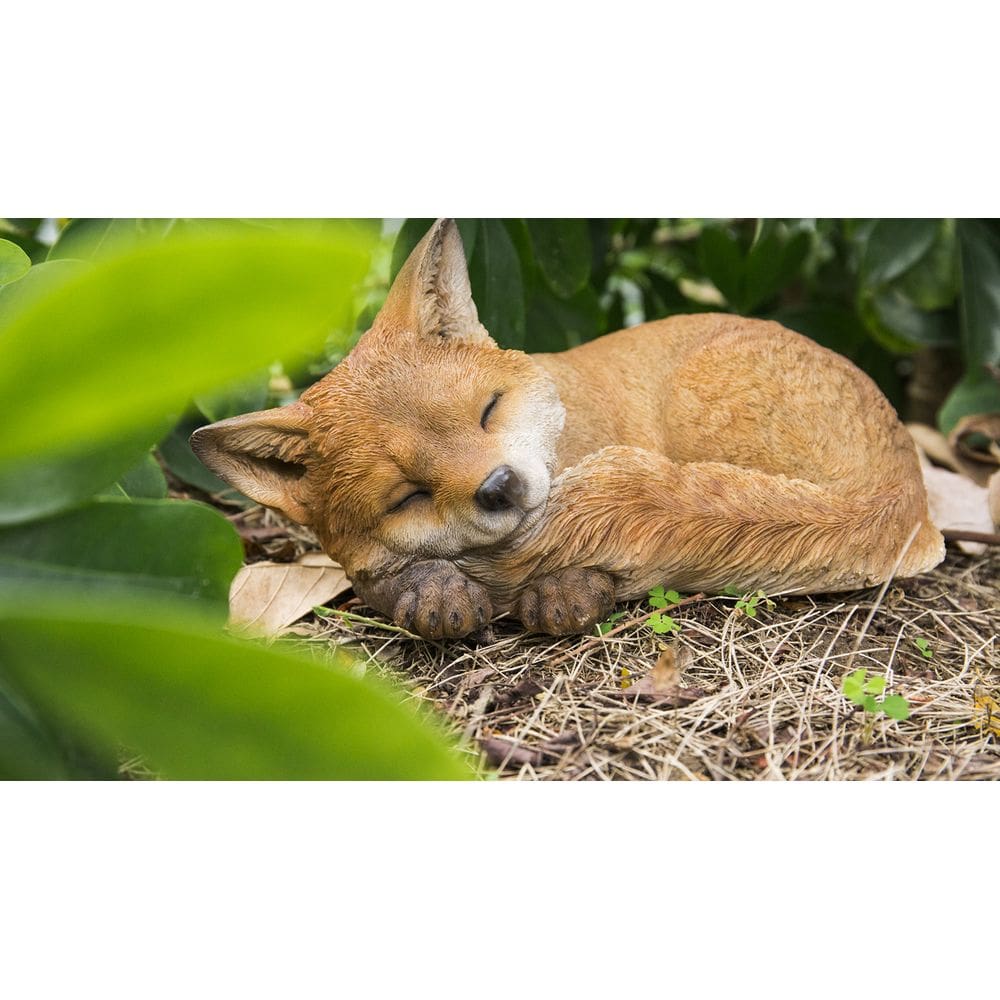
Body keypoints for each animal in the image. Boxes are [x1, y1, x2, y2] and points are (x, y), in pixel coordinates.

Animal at [191, 219, 946, 641]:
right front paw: (433, 590)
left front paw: (566, 589)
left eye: (488, 410)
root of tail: (899, 488)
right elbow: (392, 576)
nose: (499, 487)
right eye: (407, 496)